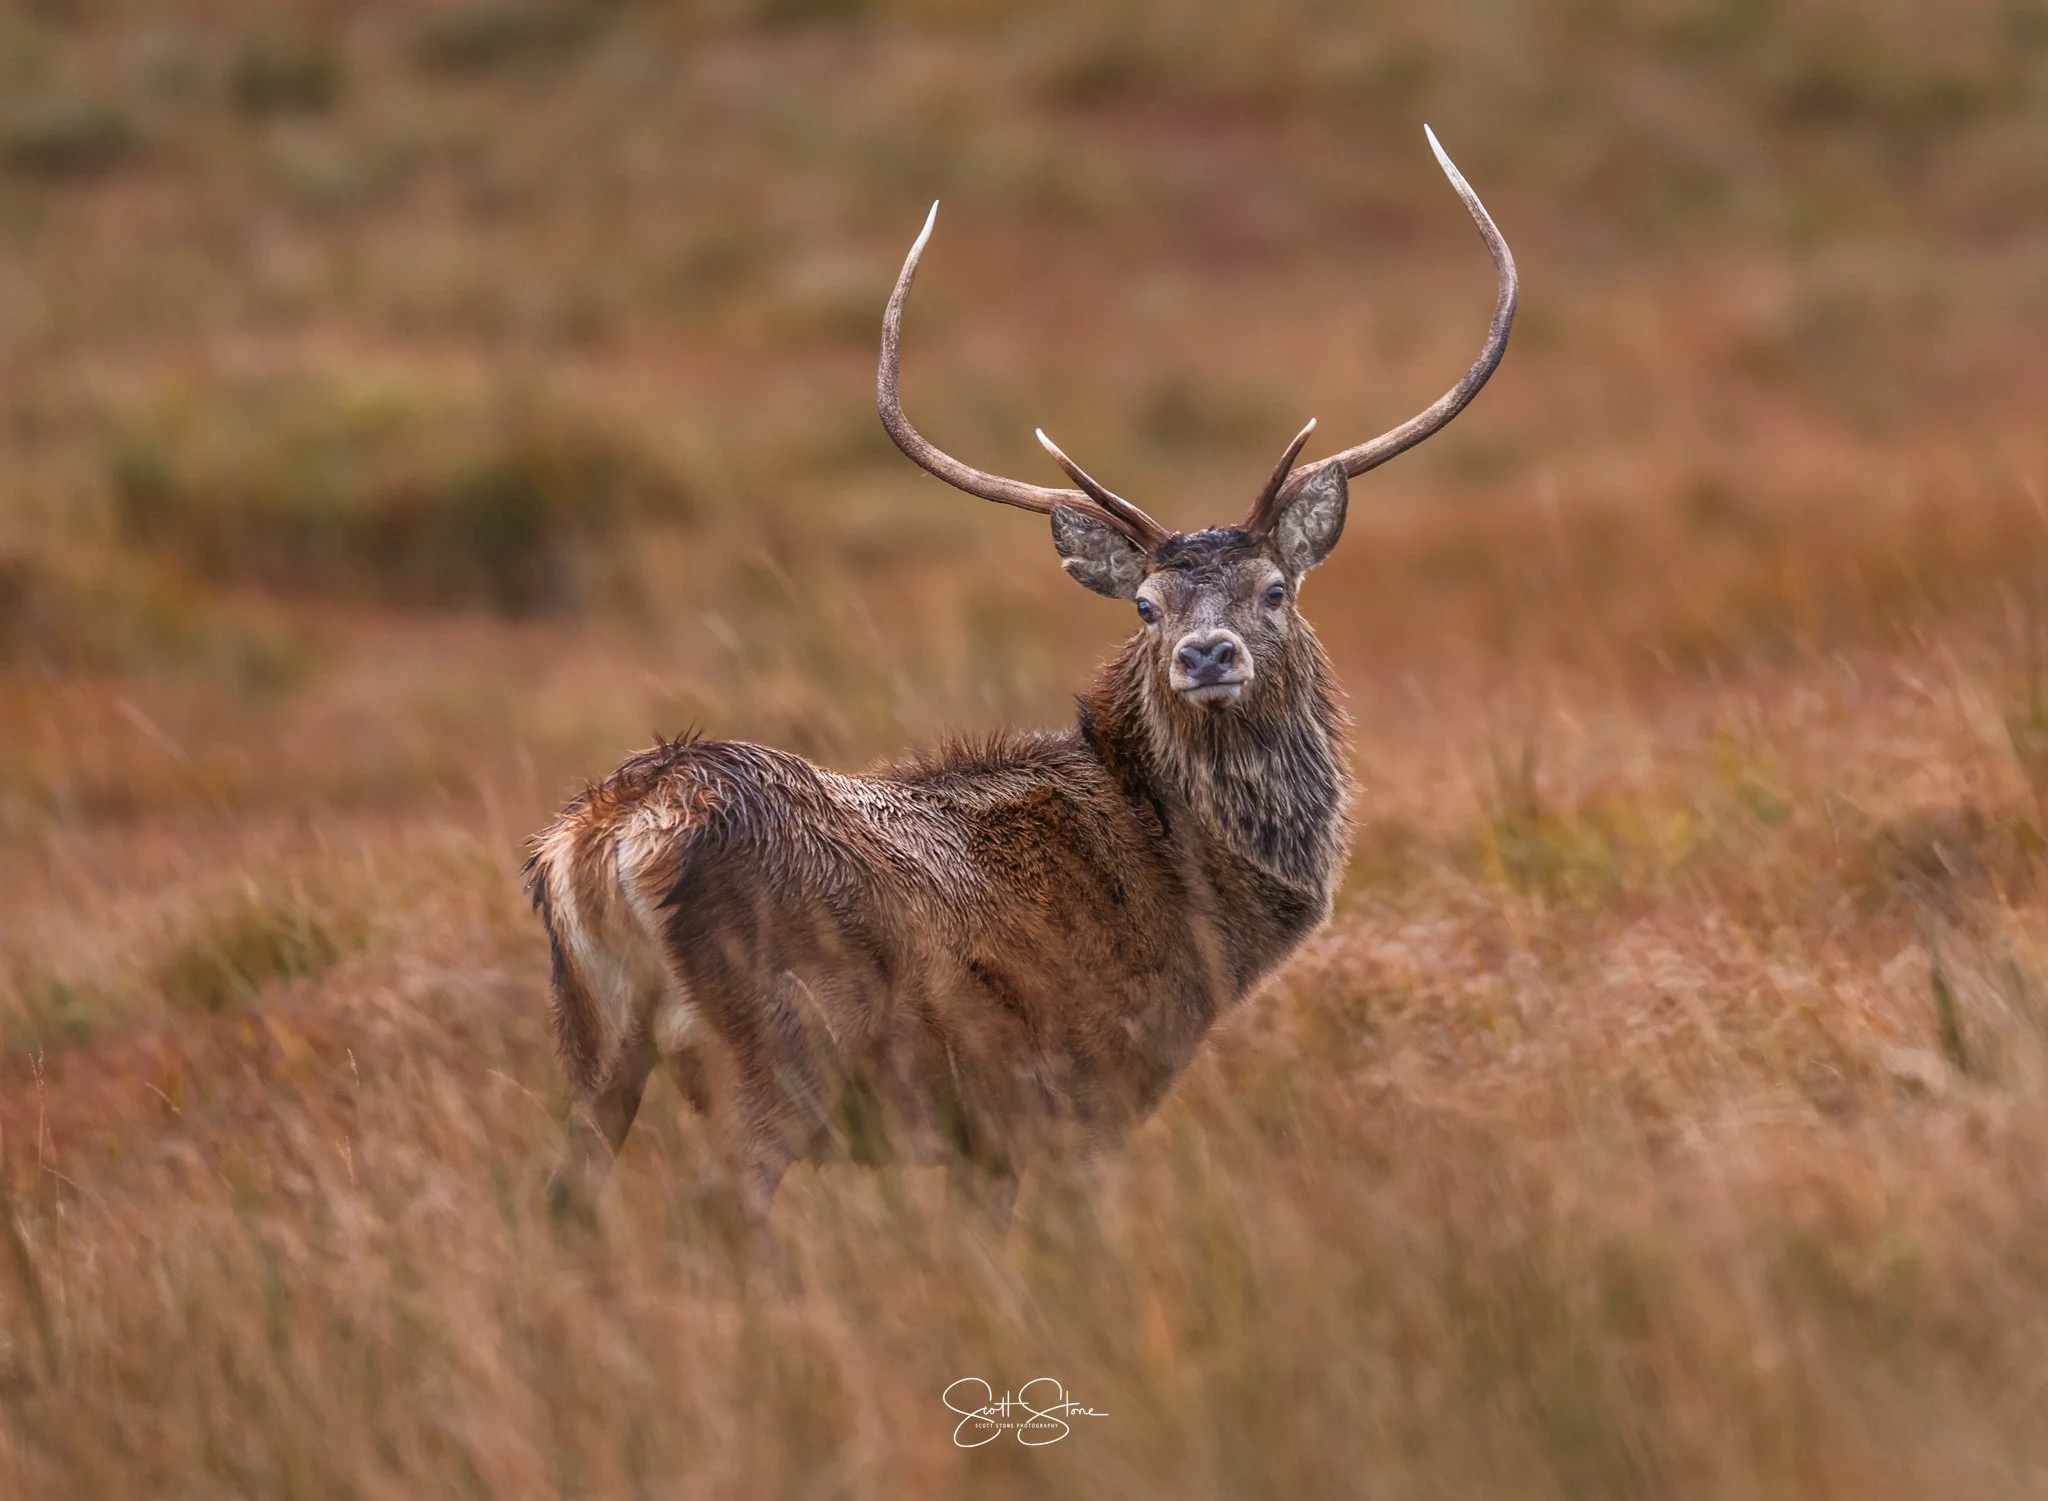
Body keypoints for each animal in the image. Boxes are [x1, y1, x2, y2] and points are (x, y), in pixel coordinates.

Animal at [526, 127, 1515, 1237]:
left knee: (563, 1193)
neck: (1194, 905)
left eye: (1273, 588)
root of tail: (608, 835)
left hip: (593, 1038)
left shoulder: (980, 1133)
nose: (1205, 654)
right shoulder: (1069, 1091)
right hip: (778, 1039)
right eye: (1146, 607)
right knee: (720, 1200)